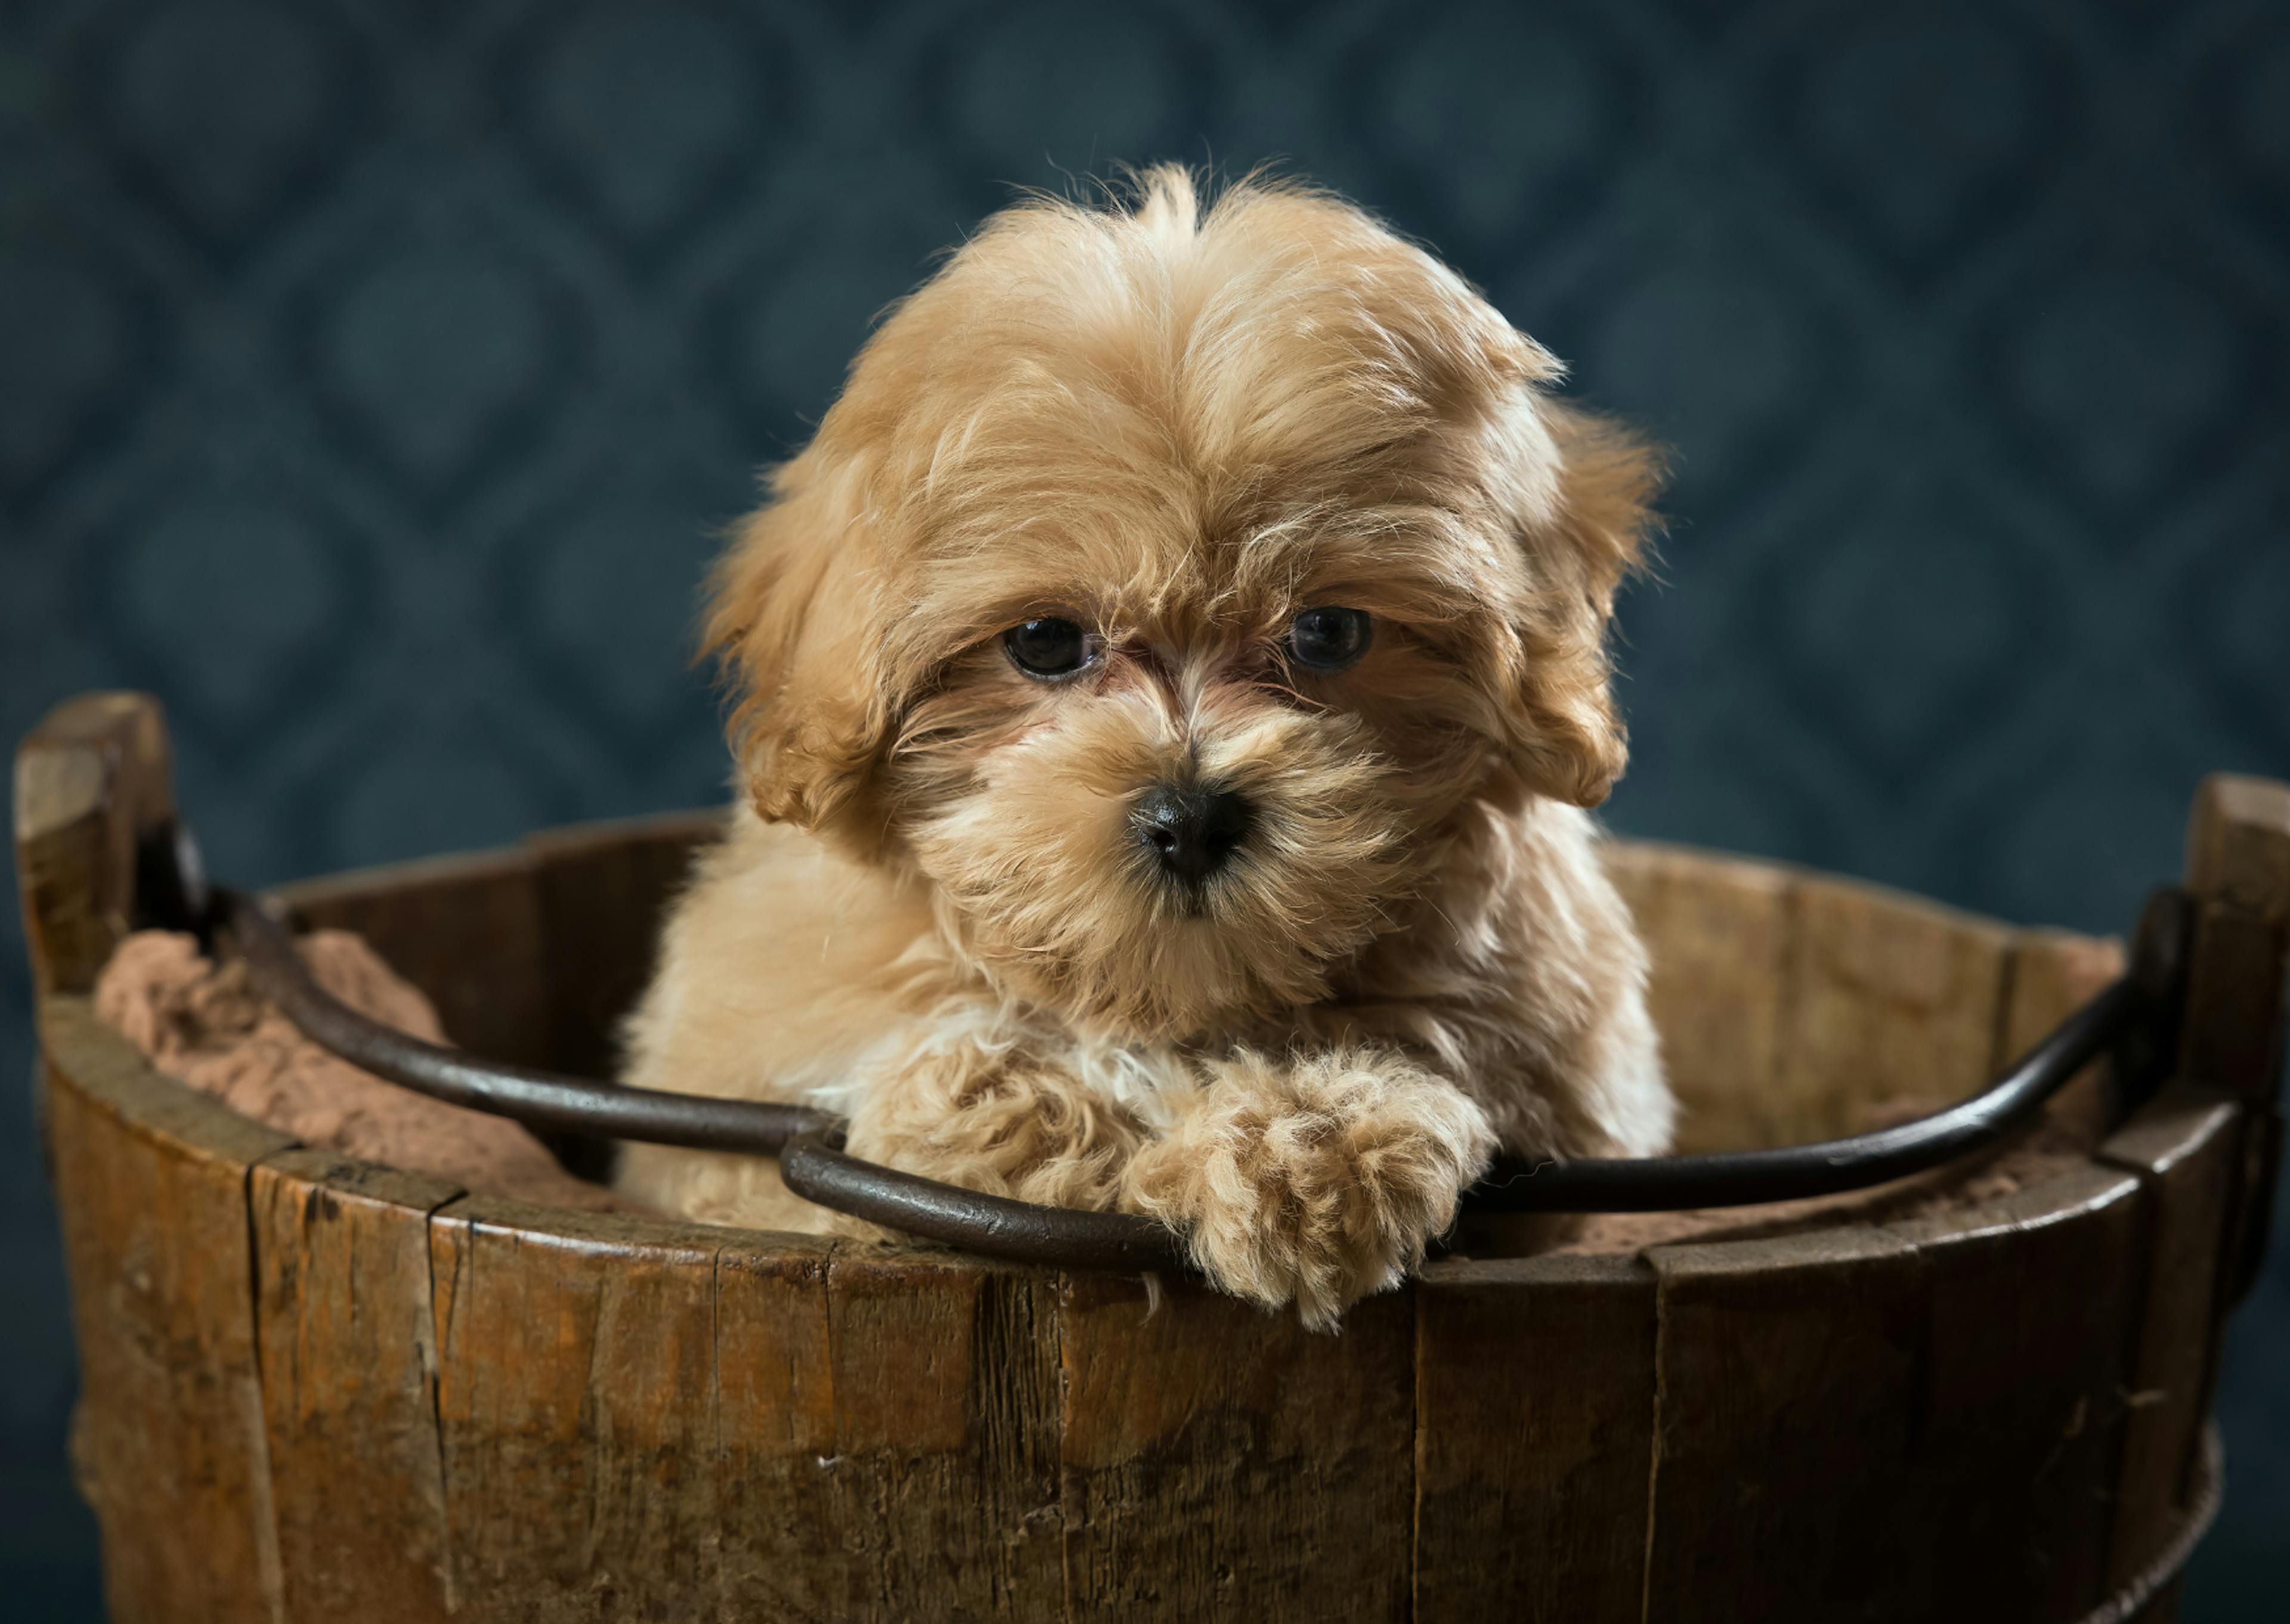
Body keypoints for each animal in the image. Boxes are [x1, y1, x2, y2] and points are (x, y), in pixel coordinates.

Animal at [618, 168, 1676, 1328]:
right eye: (1044, 642)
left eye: (1330, 633)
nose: (1193, 815)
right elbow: (963, 1079)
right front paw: (1122, 1125)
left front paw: (1309, 1135)